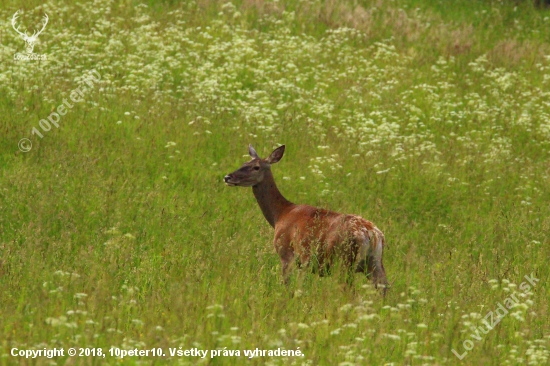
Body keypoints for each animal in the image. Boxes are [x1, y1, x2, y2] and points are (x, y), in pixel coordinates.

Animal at [223, 144, 388, 294]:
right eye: (243, 163)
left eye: (256, 167)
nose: (227, 177)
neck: (280, 214)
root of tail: (370, 233)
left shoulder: (286, 254)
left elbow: (287, 286)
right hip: (375, 262)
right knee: (384, 286)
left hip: (343, 260)